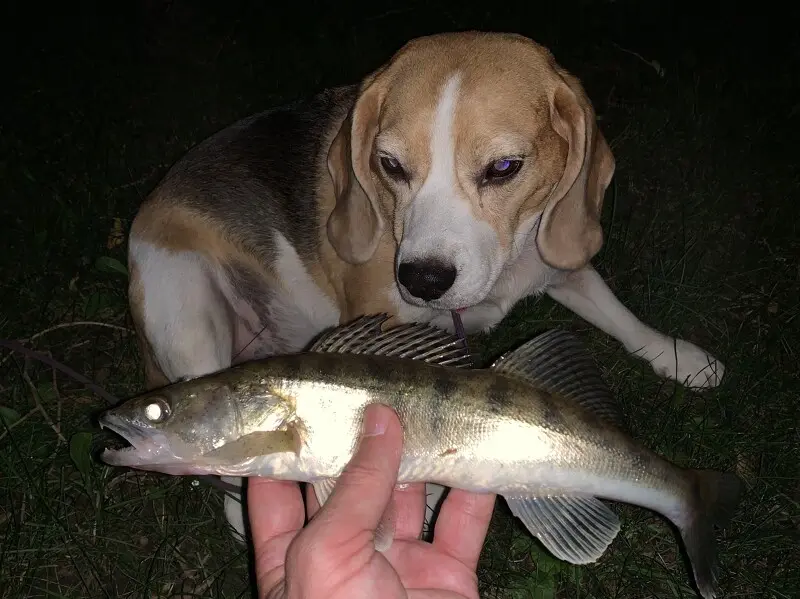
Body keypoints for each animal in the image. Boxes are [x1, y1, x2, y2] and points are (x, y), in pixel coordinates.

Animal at [126, 31, 724, 540]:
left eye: (504, 167)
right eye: (389, 165)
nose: (422, 280)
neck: (503, 268)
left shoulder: (558, 256)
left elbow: (622, 318)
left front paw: (680, 358)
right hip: (184, 305)